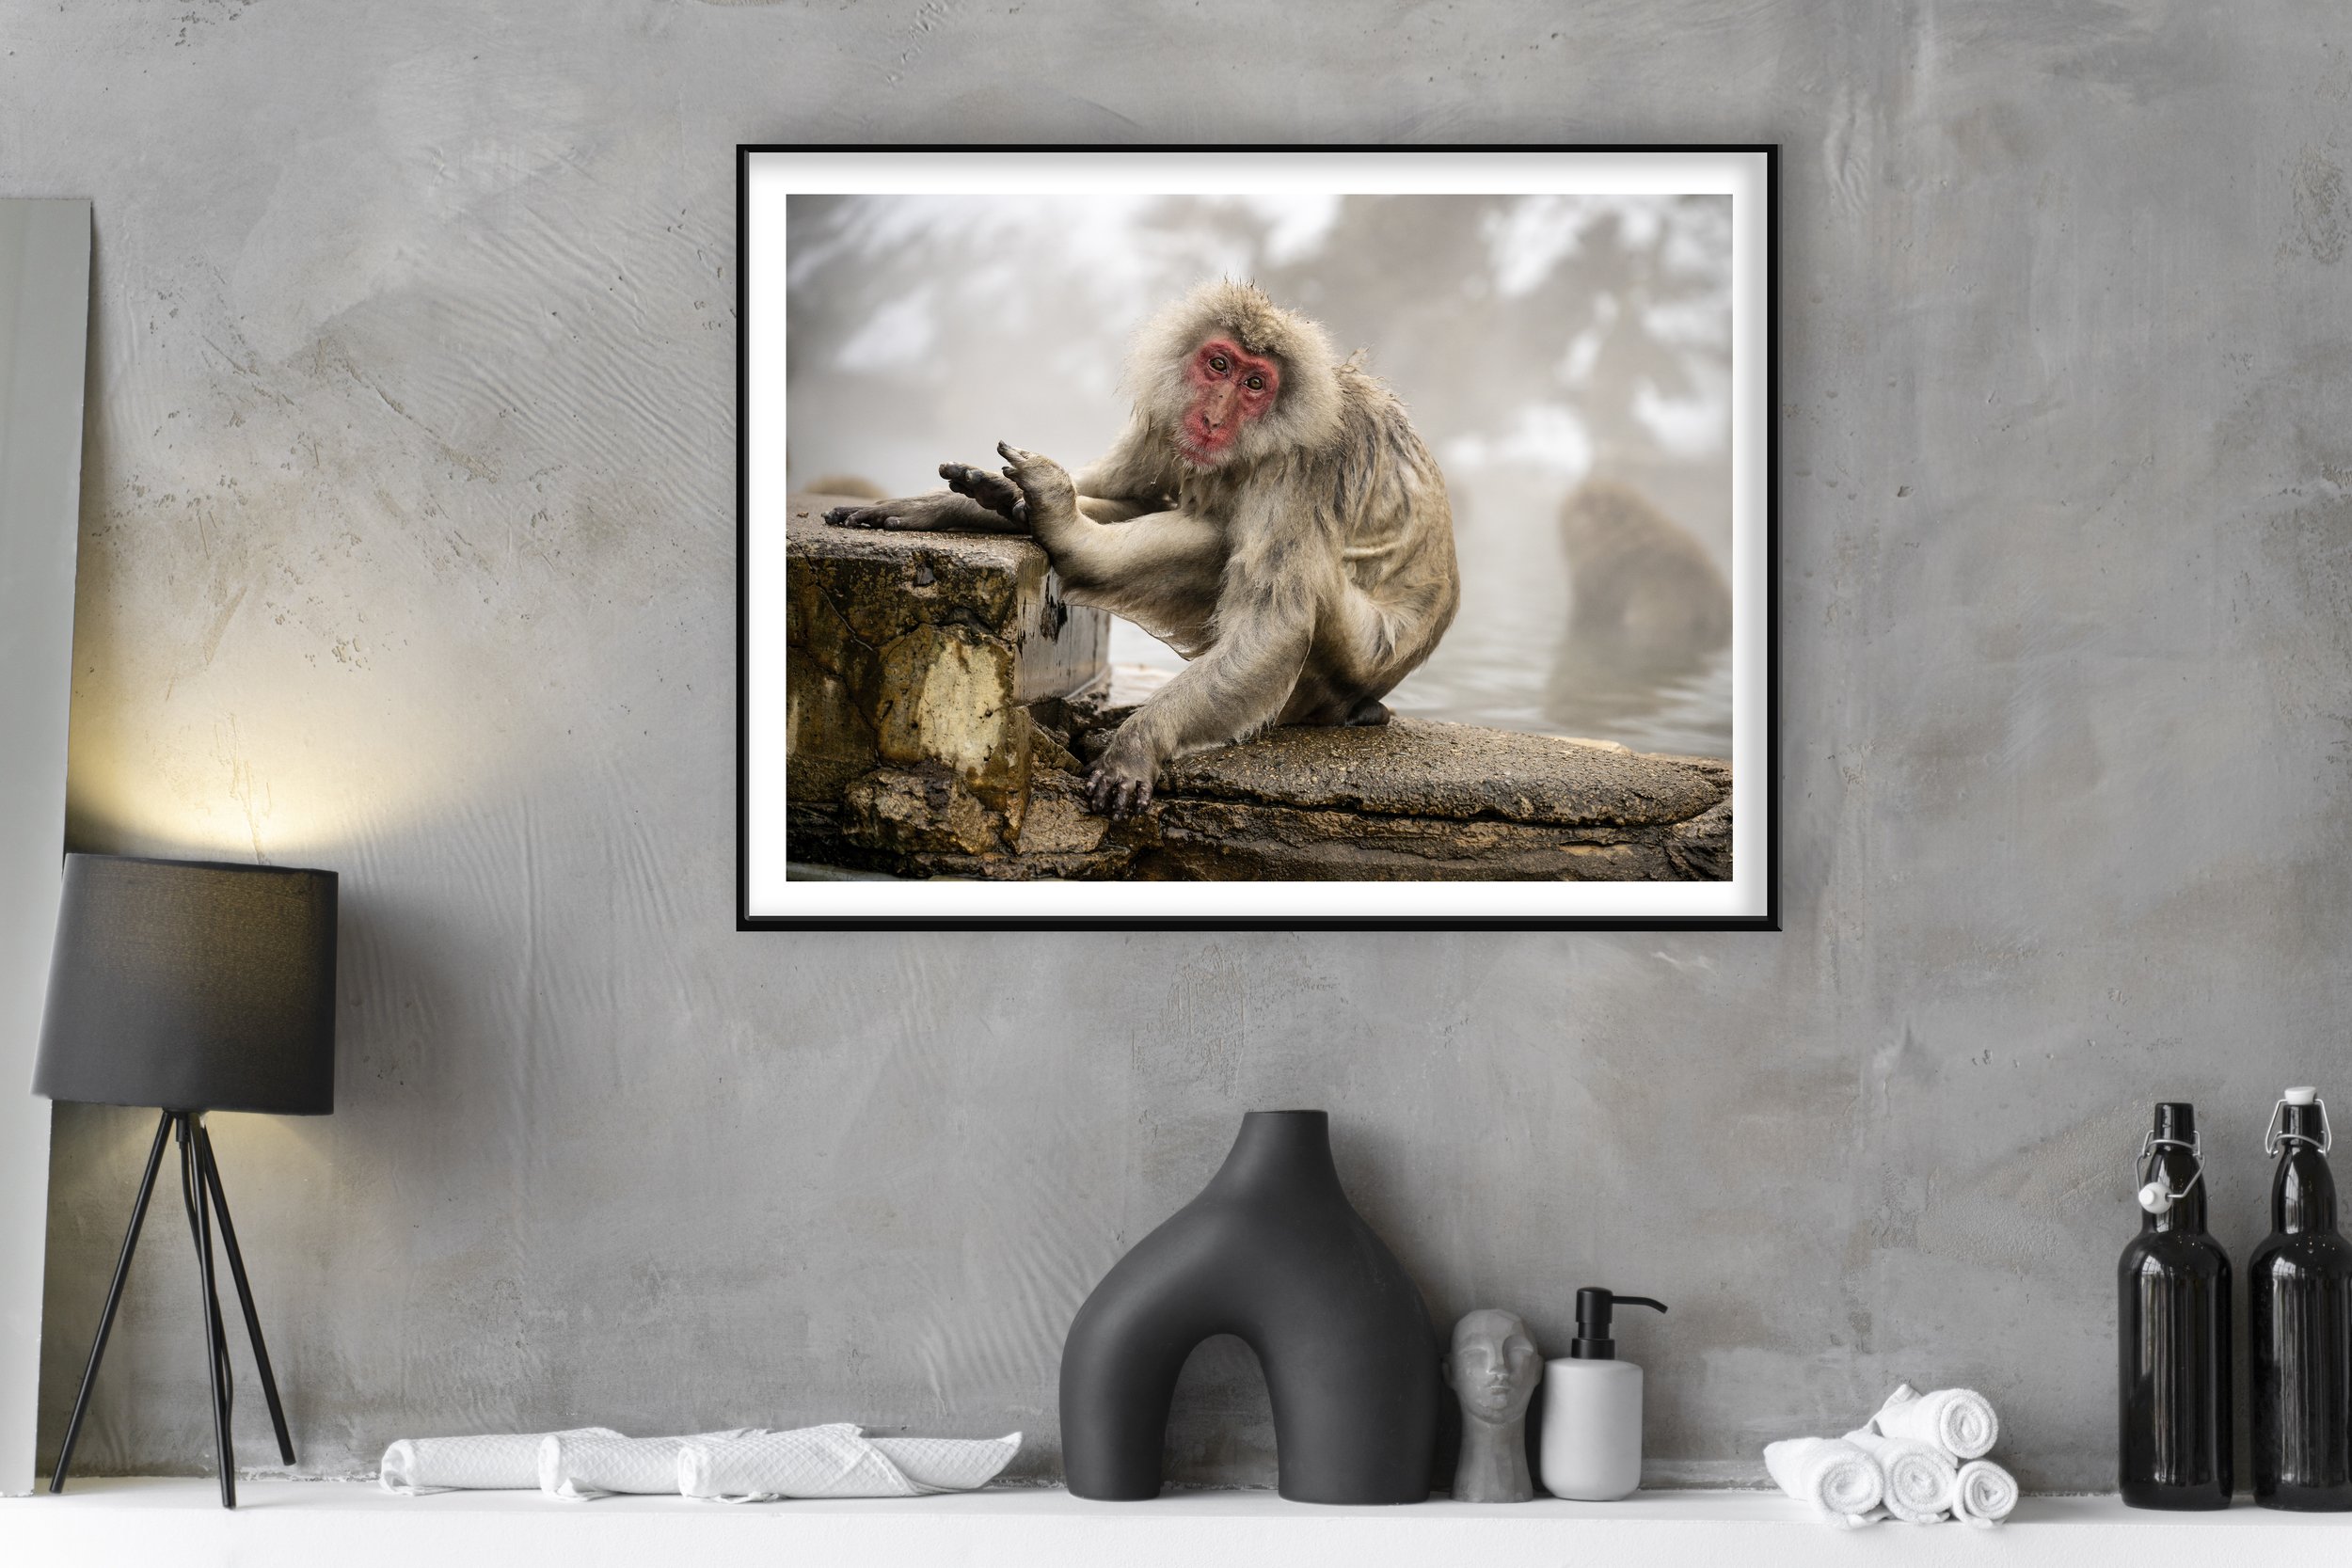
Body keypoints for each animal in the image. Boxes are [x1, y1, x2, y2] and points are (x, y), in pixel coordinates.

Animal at [825, 280, 1460, 818]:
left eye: (1256, 384)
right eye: (1219, 364)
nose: (1214, 417)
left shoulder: (1310, 466)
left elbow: (1273, 626)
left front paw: (1139, 743)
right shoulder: (1167, 418)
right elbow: (1125, 494)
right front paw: (945, 505)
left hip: (1341, 666)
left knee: (1227, 547)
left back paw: (1070, 541)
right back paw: (1039, 515)